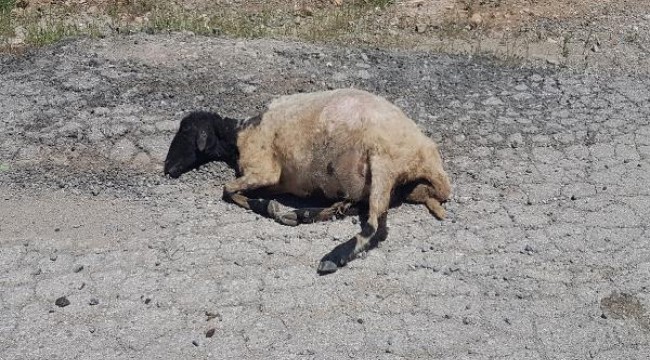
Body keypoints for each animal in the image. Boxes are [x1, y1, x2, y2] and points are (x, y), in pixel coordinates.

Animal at [163, 88, 450, 274]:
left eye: (186, 131)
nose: (167, 168)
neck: (239, 134)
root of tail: (427, 156)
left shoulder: (263, 169)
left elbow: (228, 190)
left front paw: (273, 209)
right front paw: (285, 211)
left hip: (383, 161)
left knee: (375, 226)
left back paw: (333, 256)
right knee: (366, 208)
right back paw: (311, 214)